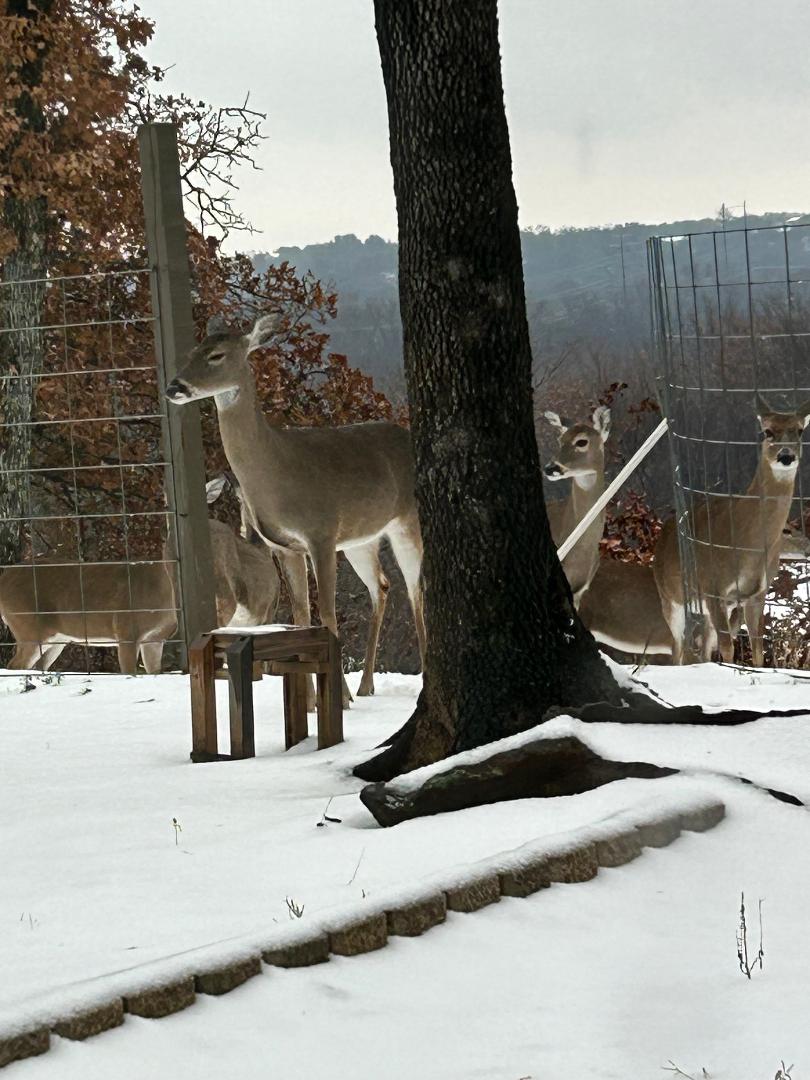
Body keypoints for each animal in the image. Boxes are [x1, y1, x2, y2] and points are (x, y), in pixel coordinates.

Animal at [164, 315, 426, 706]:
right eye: (190, 353)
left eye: (216, 355)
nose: (174, 386)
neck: (277, 468)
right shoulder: (285, 546)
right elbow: (303, 616)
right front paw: (314, 698)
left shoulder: (321, 533)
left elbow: (327, 614)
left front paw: (336, 699)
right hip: (359, 540)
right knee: (381, 586)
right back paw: (366, 686)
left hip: (407, 523)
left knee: (416, 590)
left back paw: (423, 679)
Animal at [653, 395, 810, 664]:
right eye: (768, 431)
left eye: (799, 430)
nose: (786, 455)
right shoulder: (713, 586)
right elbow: (727, 647)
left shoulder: (756, 593)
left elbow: (756, 647)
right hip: (671, 597)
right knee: (679, 648)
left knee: (702, 647)